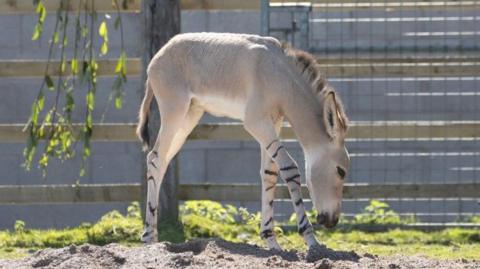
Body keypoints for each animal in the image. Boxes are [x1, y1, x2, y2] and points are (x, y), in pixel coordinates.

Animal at [137, 32, 350, 248]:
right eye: (341, 171)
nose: (332, 221)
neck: (279, 75)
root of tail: (159, 55)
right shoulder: (256, 122)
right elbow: (289, 169)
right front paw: (311, 239)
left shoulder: (273, 122)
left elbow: (269, 173)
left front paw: (271, 240)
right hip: (174, 112)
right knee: (155, 160)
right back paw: (149, 238)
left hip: (189, 116)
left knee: (161, 160)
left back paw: (152, 236)